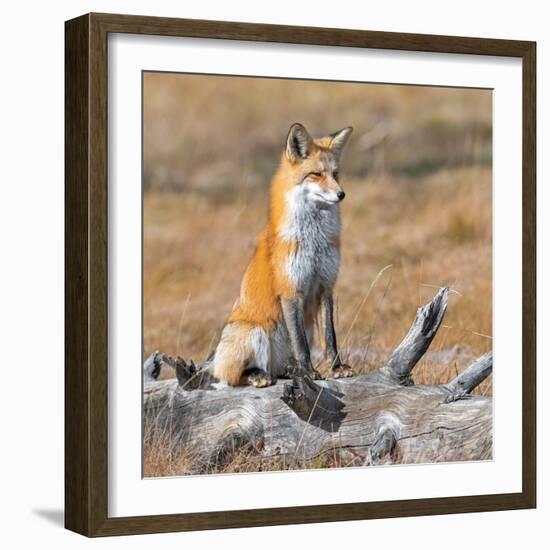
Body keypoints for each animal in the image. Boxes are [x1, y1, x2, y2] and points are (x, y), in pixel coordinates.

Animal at [209, 123, 356, 388]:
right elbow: (301, 345)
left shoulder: (326, 285)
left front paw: (337, 368)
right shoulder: (291, 290)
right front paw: (308, 372)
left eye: (335, 174)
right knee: (234, 377)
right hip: (254, 332)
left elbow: (330, 337)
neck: (314, 243)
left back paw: (288, 372)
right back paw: (258, 375)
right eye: (316, 174)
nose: (341, 195)